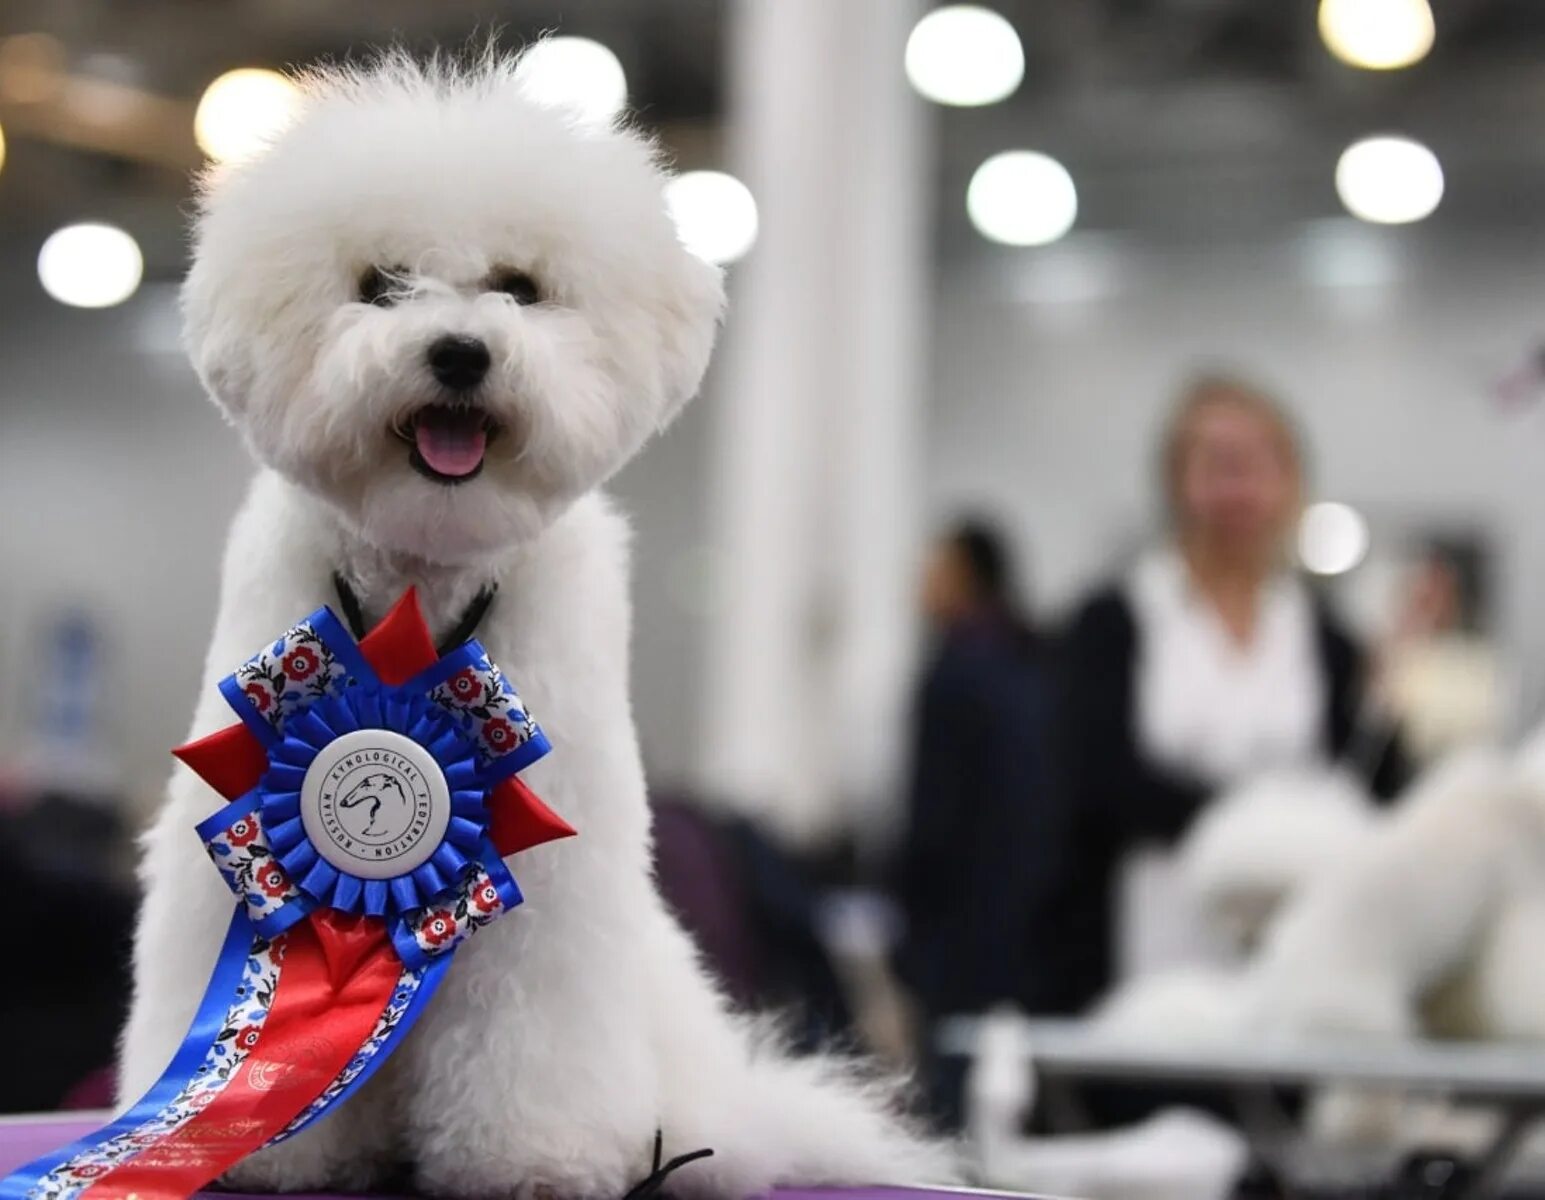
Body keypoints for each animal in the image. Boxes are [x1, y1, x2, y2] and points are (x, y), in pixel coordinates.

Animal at [120, 49, 945, 1198]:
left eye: (518, 287)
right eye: (381, 284)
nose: (461, 352)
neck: (418, 603)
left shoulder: (549, 879)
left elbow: (533, 1031)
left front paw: (533, 1159)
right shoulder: (233, 854)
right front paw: (261, 1147)